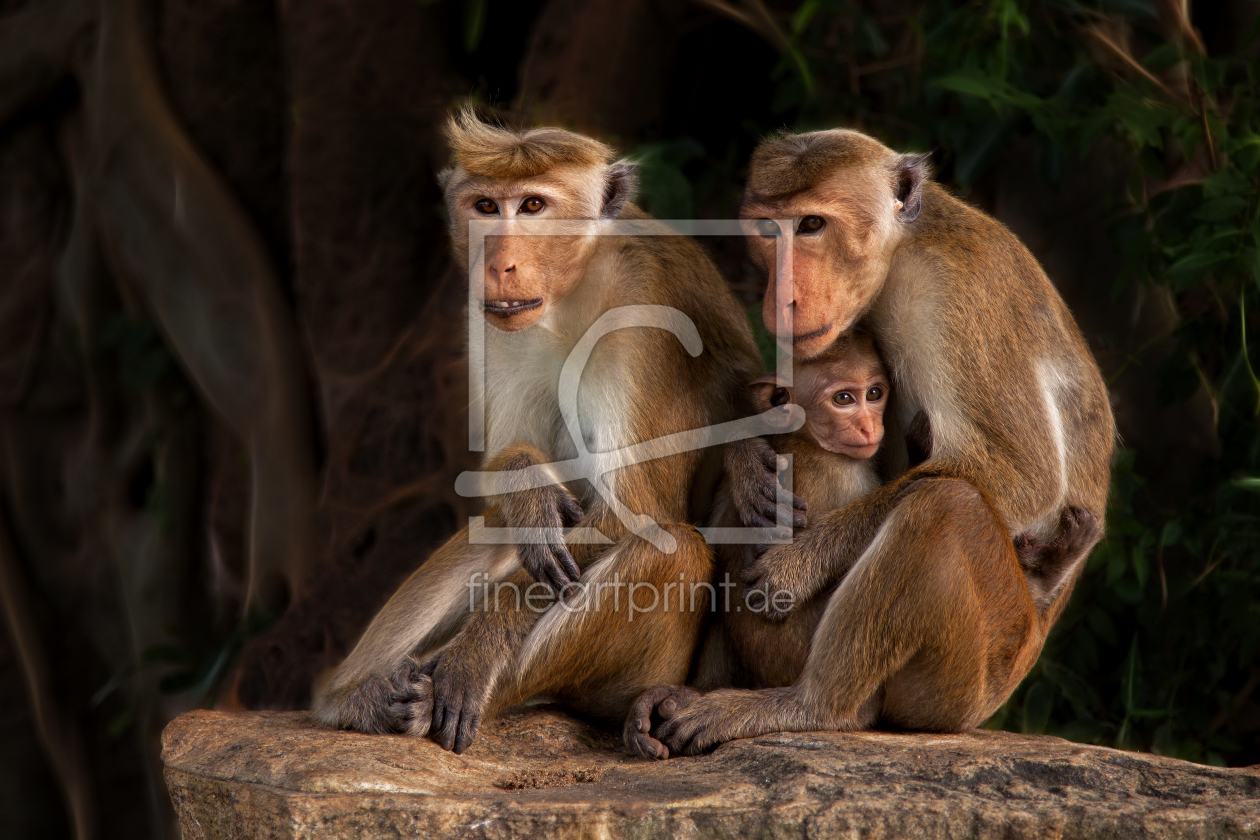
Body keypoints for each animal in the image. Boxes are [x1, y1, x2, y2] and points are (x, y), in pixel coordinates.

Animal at [317, 111, 766, 755]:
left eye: (532, 205)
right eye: (485, 205)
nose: (499, 262)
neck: (573, 291)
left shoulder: (645, 309)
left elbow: (634, 513)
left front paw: (481, 645)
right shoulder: (489, 320)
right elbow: (507, 476)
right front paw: (525, 484)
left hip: (645, 673)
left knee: (671, 550)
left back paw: (442, 688)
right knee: (512, 530)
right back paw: (355, 698)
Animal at [630, 128, 1113, 760]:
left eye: (812, 225)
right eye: (768, 230)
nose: (779, 297)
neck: (900, 255)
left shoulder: (955, 292)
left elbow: (1022, 475)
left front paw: (801, 563)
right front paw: (746, 452)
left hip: (972, 676)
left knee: (944, 508)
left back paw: (807, 706)